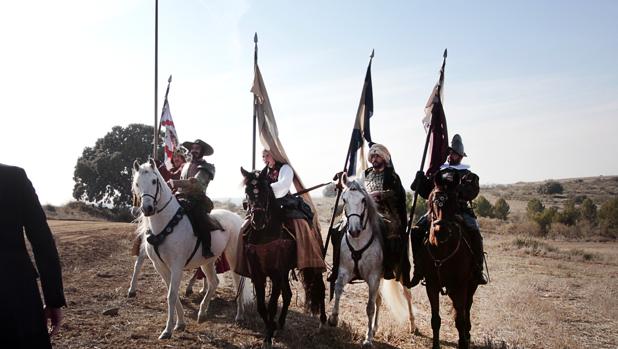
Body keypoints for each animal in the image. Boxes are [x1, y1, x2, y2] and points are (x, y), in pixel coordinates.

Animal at [132, 160, 250, 338]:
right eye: (137, 184)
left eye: (154, 181)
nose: (147, 208)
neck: (166, 224)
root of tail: (237, 218)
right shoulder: (160, 267)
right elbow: (172, 294)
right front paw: (180, 323)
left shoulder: (177, 266)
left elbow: (171, 296)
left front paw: (167, 330)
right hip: (207, 262)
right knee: (213, 282)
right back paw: (202, 313)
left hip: (232, 257)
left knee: (238, 282)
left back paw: (240, 315)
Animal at [238, 167, 324, 346]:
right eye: (247, 191)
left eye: (265, 190)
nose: (257, 221)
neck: (265, 236)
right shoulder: (258, 274)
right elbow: (261, 306)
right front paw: (271, 328)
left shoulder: (276, 274)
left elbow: (271, 305)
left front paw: (268, 336)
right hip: (284, 272)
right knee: (288, 295)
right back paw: (281, 323)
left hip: (310, 265)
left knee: (318, 289)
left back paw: (323, 322)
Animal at [328, 178, 414, 346]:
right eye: (344, 199)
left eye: (363, 200)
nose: (354, 231)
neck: (358, 242)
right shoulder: (344, 271)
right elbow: (338, 289)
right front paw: (333, 318)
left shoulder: (373, 278)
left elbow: (370, 307)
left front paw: (367, 339)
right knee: (379, 300)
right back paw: (374, 328)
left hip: (399, 273)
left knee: (407, 294)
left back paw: (413, 326)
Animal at [418, 167, 476, 346]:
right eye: (434, 199)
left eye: (455, 200)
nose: (440, 232)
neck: (442, 249)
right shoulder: (432, 285)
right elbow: (435, 320)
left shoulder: (460, 285)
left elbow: (460, 320)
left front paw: (463, 342)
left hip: (470, 285)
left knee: (467, 308)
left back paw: (467, 334)